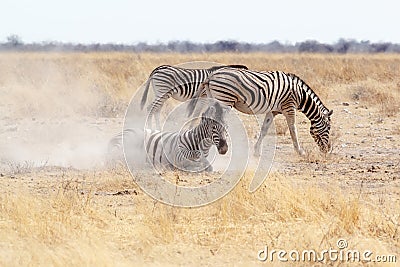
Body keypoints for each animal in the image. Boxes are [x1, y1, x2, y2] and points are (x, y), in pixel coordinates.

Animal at [188, 69, 332, 156]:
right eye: (328, 128)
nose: (328, 150)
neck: (301, 95)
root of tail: (211, 75)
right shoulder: (289, 107)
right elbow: (293, 129)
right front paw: (300, 151)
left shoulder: (273, 111)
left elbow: (264, 129)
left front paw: (256, 151)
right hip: (224, 99)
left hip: (212, 98)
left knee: (203, 117)